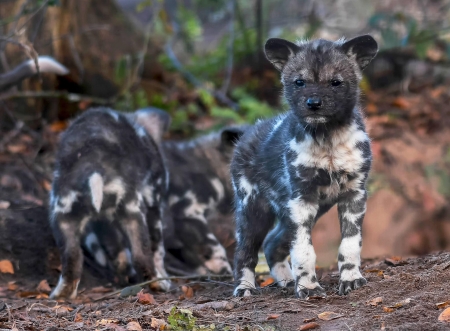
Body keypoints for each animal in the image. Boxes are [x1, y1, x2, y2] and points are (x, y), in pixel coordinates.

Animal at [49, 107, 171, 300]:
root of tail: (92, 164)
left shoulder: (104, 221)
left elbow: (118, 250)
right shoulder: (152, 204)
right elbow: (157, 249)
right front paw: (163, 276)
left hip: (62, 216)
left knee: (73, 258)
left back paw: (62, 293)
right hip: (134, 211)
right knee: (141, 255)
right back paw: (157, 284)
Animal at [230, 35, 378, 300]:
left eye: (335, 82)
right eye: (299, 82)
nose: (313, 103)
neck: (328, 140)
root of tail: (246, 135)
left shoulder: (354, 195)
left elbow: (350, 245)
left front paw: (351, 278)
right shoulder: (301, 199)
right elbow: (303, 251)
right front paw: (308, 287)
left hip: (305, 210)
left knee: (271, 244)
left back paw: (287, 281)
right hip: (253, 209)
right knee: (244, 251)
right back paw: (245, 288)